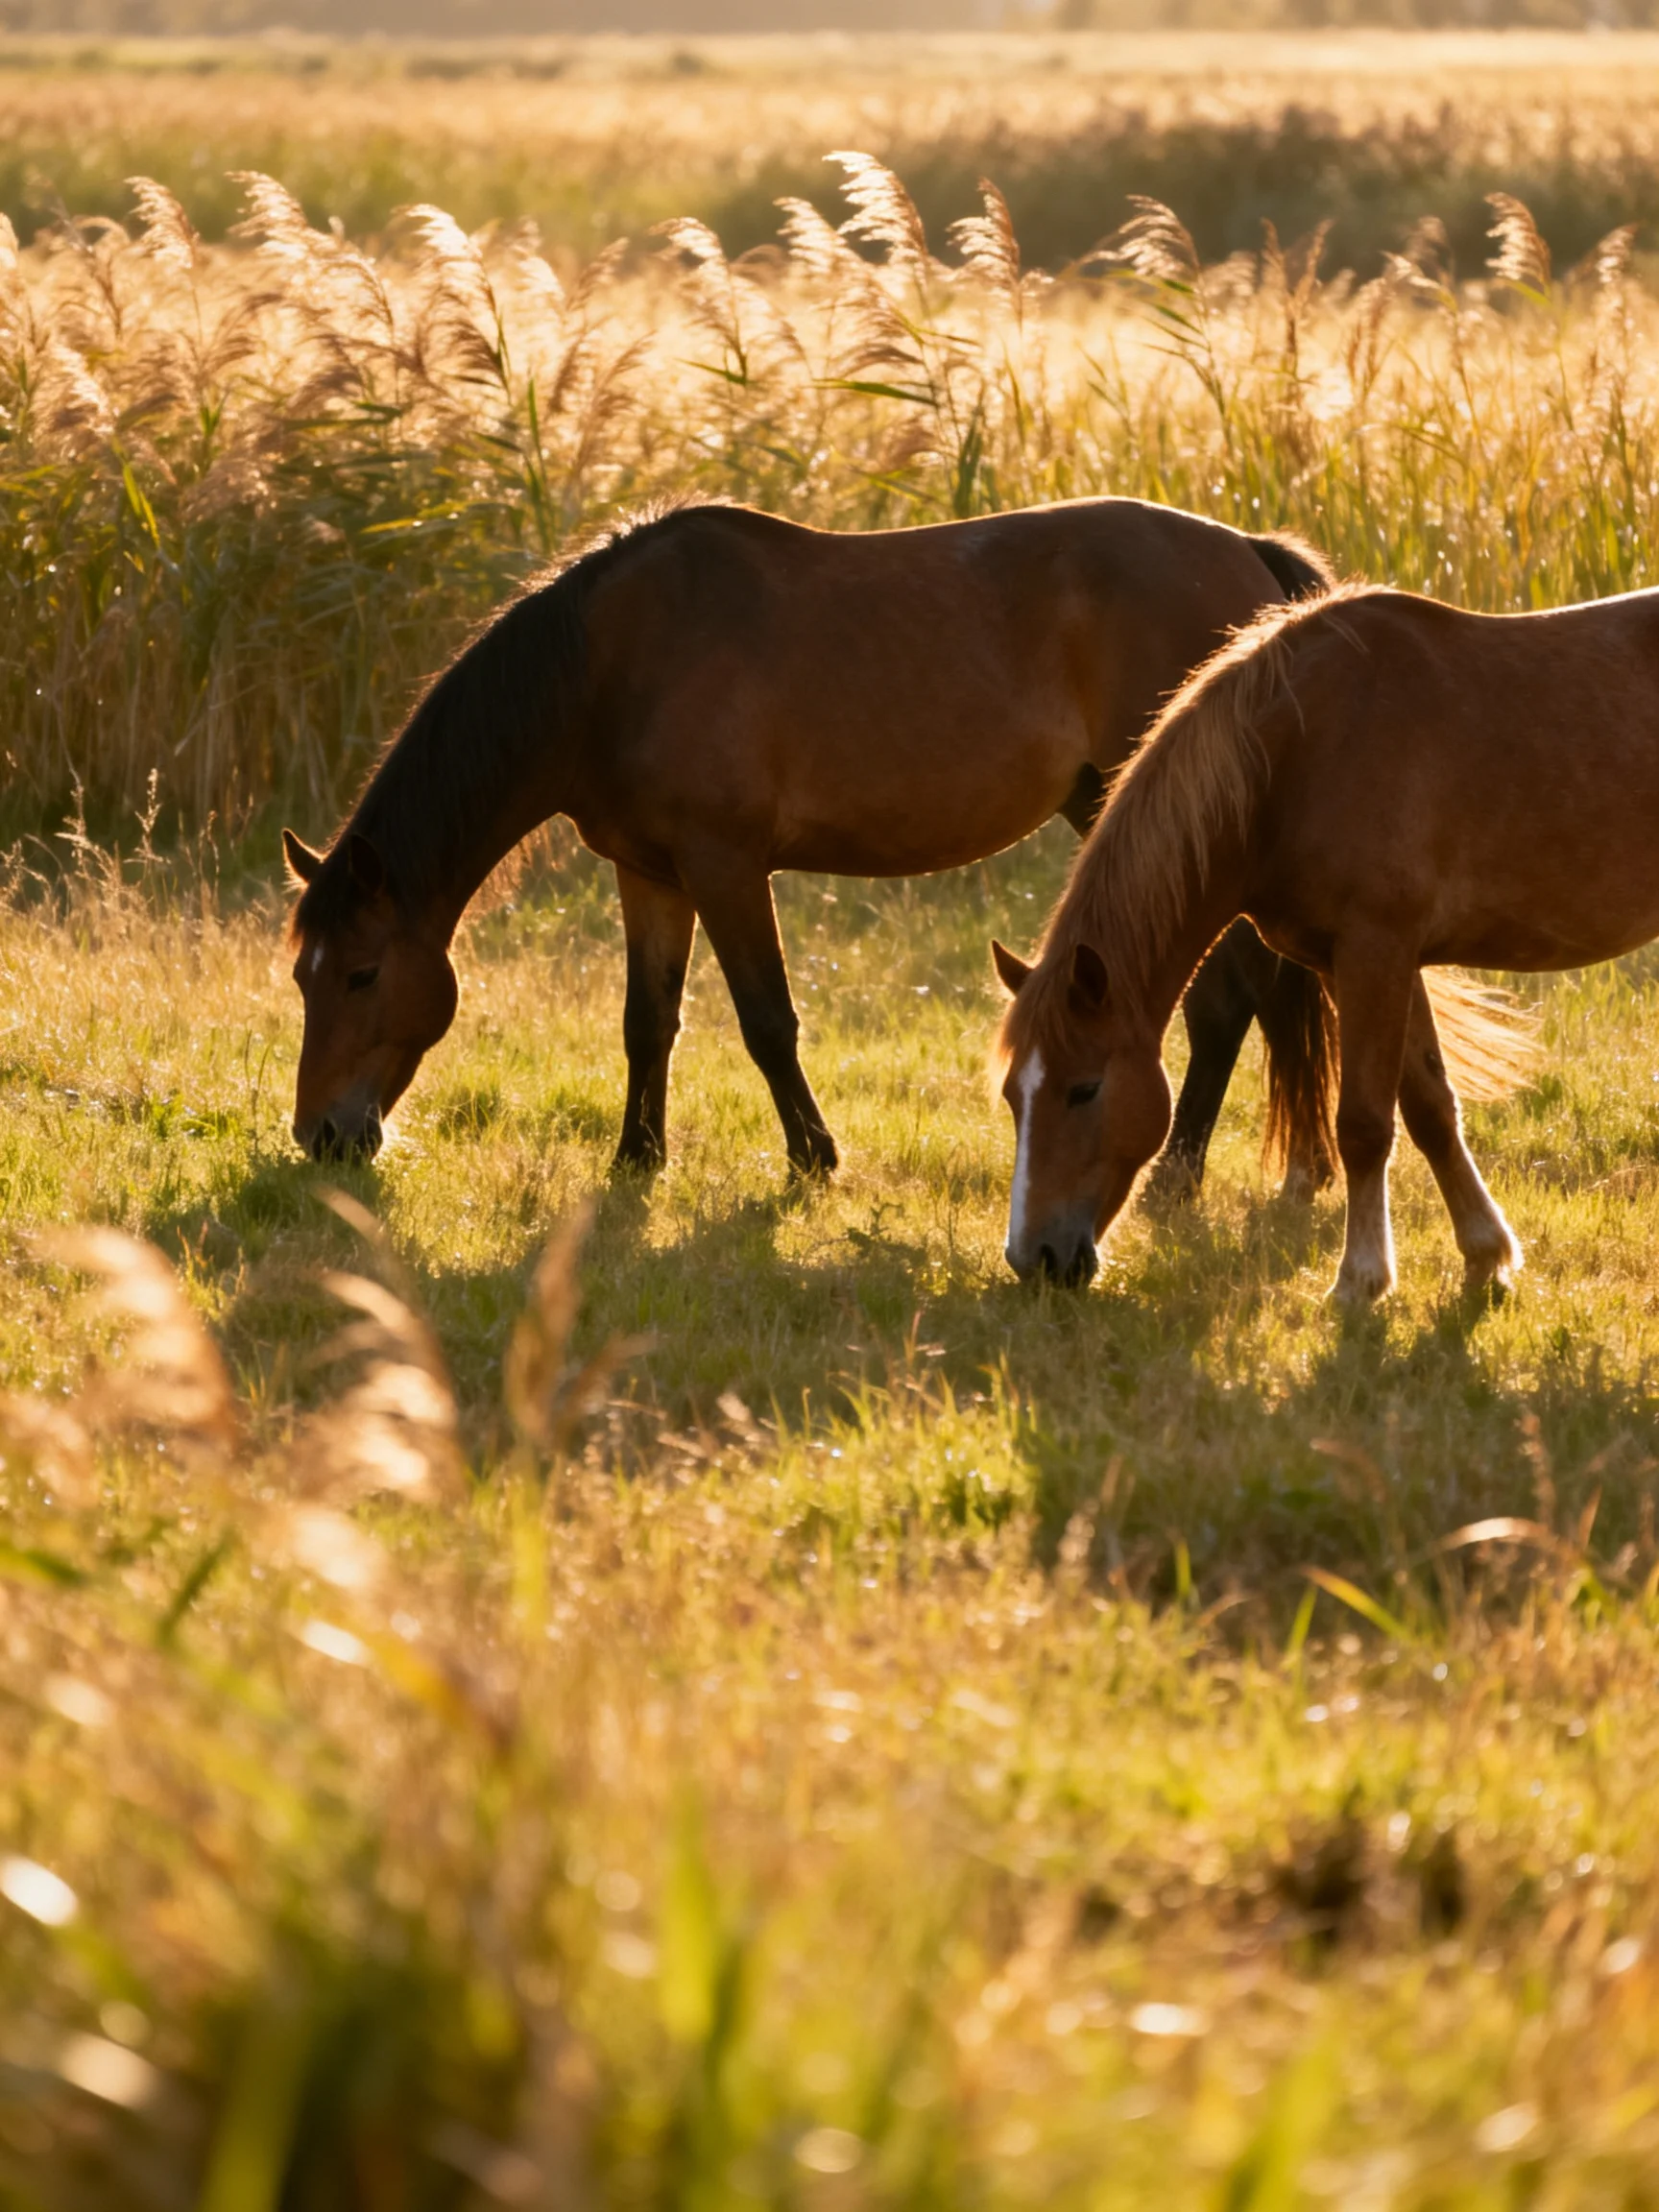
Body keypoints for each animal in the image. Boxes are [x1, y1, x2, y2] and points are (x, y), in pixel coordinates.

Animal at [282, 496, 1338, 1183]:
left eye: (362, 974)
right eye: (301, 976)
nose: (320, 1136)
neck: (613, 665)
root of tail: (1250, 555)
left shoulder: (727, 866)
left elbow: (766, 1020)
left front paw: (813, 1158)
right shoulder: (650, 875)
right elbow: (646, 1022)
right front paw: (637, 1159)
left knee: (1229, 1000)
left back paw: (1178, 1172)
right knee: (1229, 999)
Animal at [993, 578, 1581, 1302]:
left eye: (1084, 1089)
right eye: (1012, 1096)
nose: (1034, 1259)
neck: (1295, 756)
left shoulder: (1374, 952)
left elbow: (1363, 1124)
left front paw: (1360, 1280)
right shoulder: (1366, 961)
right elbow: (1429, 1108)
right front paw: (1484, 1253)